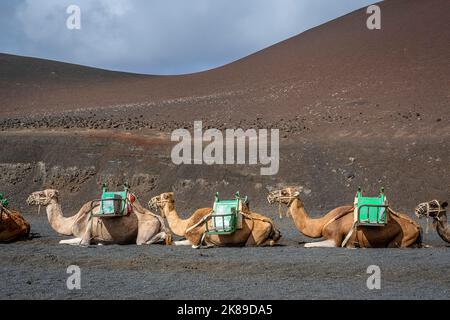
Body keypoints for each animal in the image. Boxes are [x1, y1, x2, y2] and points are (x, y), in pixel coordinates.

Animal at [25, 189, 172, 246]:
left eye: (42, 194)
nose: (29, 198)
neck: (72, 222)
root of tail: (156, 217)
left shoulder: (84, 235)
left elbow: (66, 242)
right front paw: (102, 242)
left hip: (145, 229)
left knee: (143, 241)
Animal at [149, 191, 280, 249]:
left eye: (159, 197)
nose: (150, 202)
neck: (185, 224)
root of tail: (270, 223)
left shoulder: (195, 238)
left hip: (254, 237)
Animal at [268, 186, 422, 249]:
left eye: (284, 192)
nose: (269, 195)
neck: (321, 223)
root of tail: (417, 226)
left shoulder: (335, 239)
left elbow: (307, 245)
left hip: (401, 238)